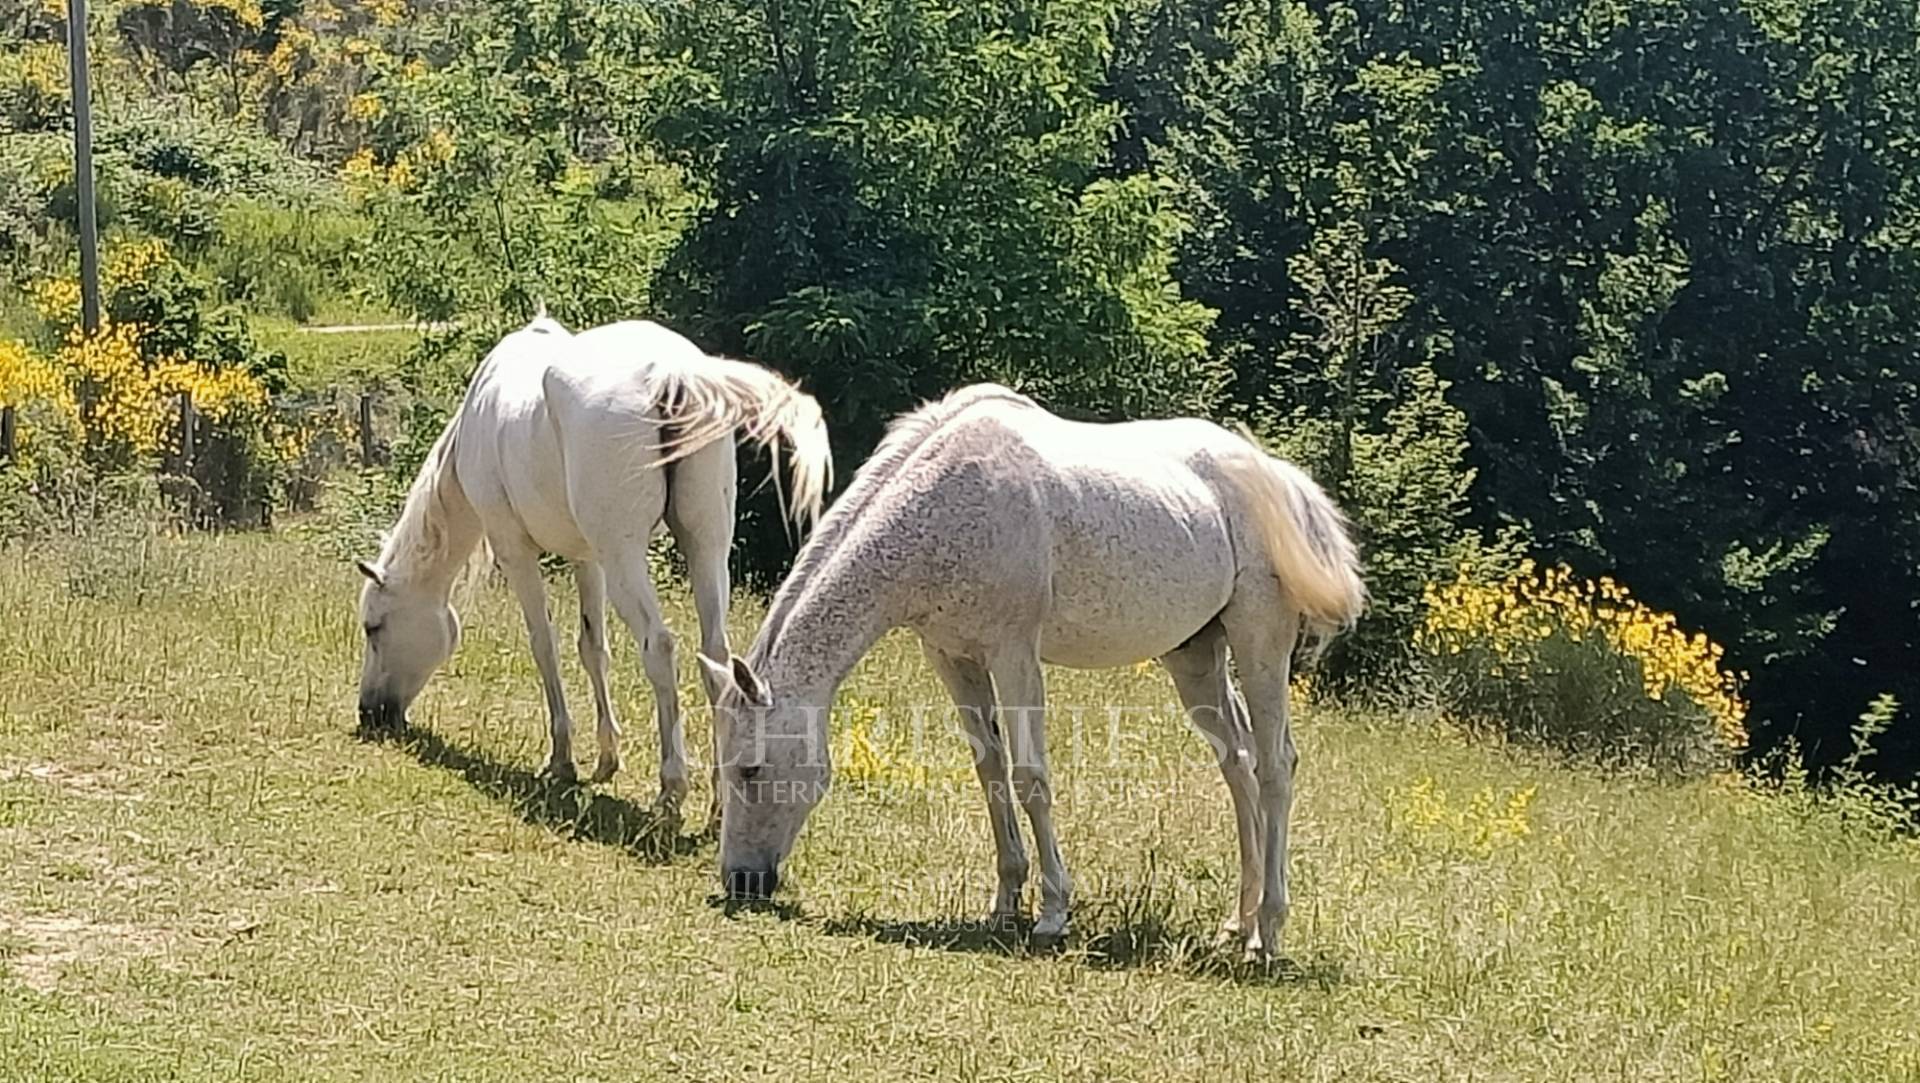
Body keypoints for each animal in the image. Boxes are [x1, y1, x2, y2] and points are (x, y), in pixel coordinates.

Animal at [359, 316, 833, 806]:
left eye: (373, 627)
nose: (369, 713)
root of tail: (674, 376)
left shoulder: (516, 551)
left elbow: (544, 644)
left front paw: (562, 759)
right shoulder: (588, 559)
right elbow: (592, 648)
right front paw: (606, 758)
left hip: (625, 558)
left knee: (660, 647)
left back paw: (673, 784)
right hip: (704, 546)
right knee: (716, 654)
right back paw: (721, 797)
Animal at [706, 382, 1367, 956]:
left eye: (750, 768)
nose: (741, 882)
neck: (943, 501)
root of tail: (1280, 480)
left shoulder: (1014, 654)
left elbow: (1030, 779)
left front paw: (1053, 912)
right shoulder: (954, 659)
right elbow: (991, 771)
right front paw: (1006, 901)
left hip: (1260, 646)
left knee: (1276, 766)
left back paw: (1268, 934)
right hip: (1196, 659)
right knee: (1240, 766)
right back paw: (1238, 921)